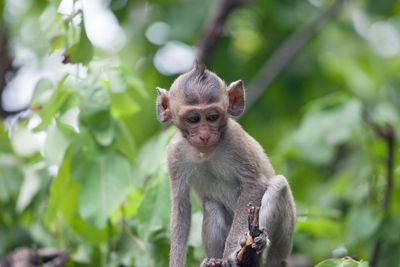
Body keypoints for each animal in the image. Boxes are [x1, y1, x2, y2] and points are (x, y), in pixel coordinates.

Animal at [156, 61, 296, 266]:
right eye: (193, 119)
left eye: (213, 116)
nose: (205, 135)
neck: (206, 152)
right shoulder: (174, 154)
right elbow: (181, 205)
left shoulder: (235, 140)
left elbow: (253, 186)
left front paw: (231, 253)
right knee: (212, 205)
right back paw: (214, 260)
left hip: (282, 247)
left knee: (279, 186)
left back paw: (258, 249)